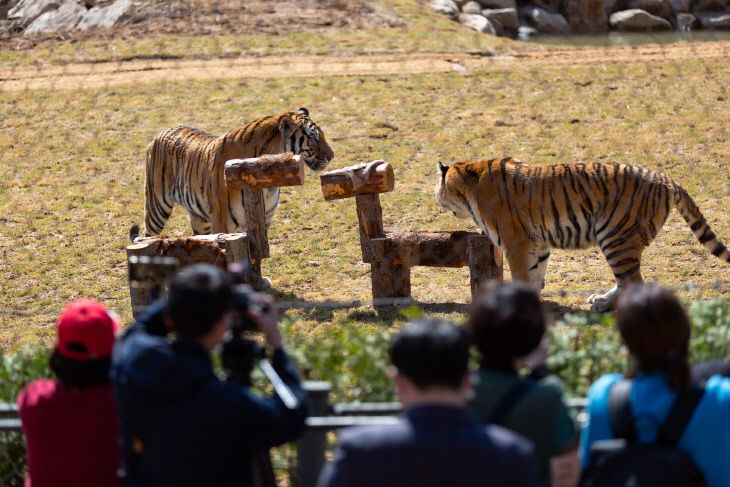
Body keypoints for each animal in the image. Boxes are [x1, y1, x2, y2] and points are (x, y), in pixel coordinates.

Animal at [132, 109, 332, 242]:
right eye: (314, 138)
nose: (332, 155)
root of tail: (161, 131)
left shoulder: (262, 218)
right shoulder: (223, 219)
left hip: (200, 220)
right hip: (157, 207)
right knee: (147, 237)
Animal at [436, 157, 724, 312]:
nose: (435, 199)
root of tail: (667, 179)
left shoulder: (515, 242)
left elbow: (521, 277)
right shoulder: (538, 244)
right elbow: (536, 276)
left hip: (615, 237)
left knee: (633, 282)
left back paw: (604, 306)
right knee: (626, 281)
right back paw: (601, 299)